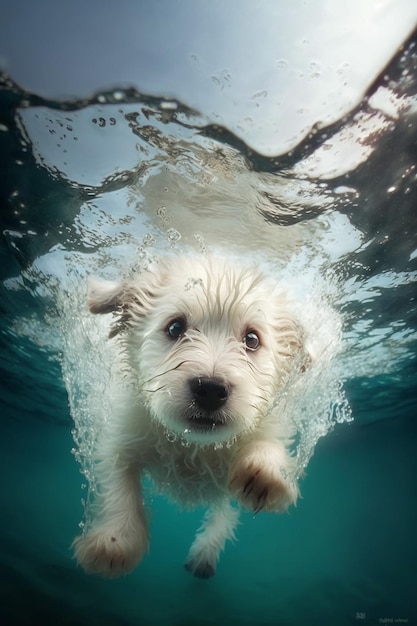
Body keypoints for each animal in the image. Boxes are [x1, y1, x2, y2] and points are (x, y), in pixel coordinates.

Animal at [73, 254, 310, 576]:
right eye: (175, 328)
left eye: (251, 339)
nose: (210, 390)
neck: (195, 444)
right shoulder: (122, 434)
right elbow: (119, 484)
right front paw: (115, 541)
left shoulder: (268, 422)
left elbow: (269, 443)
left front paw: (266, 469)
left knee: (223, 509)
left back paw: (205, 551)